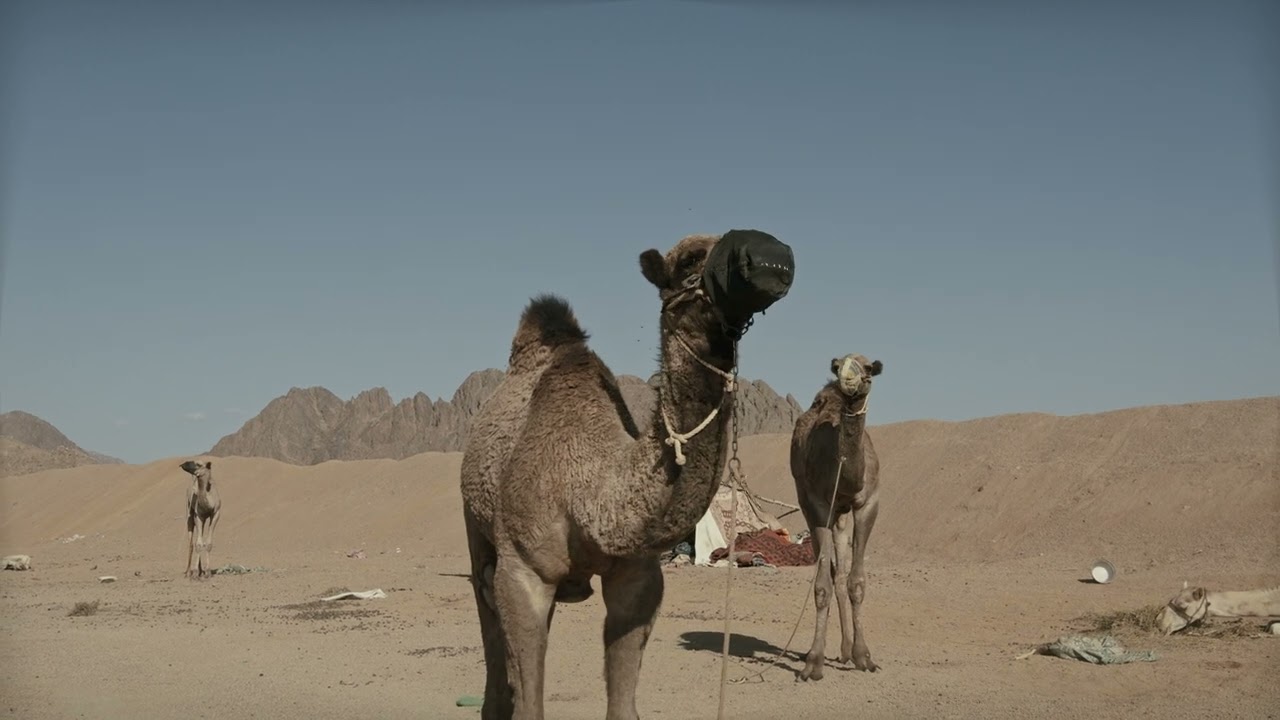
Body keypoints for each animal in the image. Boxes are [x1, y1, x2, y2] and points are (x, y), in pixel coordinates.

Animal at [460, 230, 794, 720]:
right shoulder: (522, 570)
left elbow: (622, 703)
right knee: (485, 608)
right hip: (476, 529)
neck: (589, 491)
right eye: (691, 259)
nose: (772, 255)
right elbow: (530, 701)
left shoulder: (638, 577)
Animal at [789, 353, 884, 680]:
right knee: (831, 574)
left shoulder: (868, 503)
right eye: (840, 363)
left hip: (842, 516)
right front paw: (813, 663)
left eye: (867, 368)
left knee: (840, 574)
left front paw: (864, 657)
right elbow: (821, 586)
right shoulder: (819, 505)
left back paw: (846, 651)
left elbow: (857, 582)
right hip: (807, 500)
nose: (847, 378)